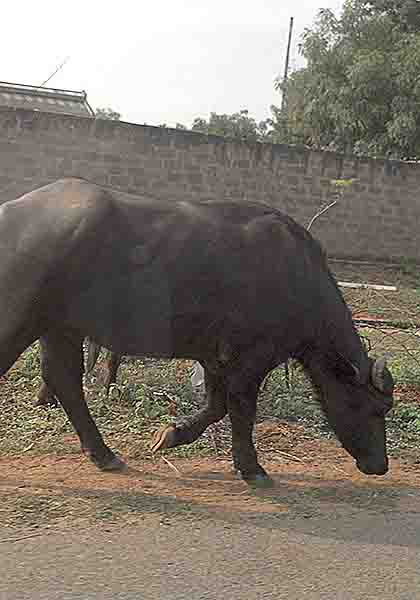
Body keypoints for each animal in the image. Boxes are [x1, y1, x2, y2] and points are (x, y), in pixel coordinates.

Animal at [0, 179, 394, 488]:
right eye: (372, 407)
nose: (380, 465)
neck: (296, 277)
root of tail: (12, 211)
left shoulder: (214, 355)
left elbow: (217, 405)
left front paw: (171, 435)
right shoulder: (252, 357)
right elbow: (241, 407)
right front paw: (252, 467)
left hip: (59, 327)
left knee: (63, 378)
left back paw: (103, 453)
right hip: (23, 320)